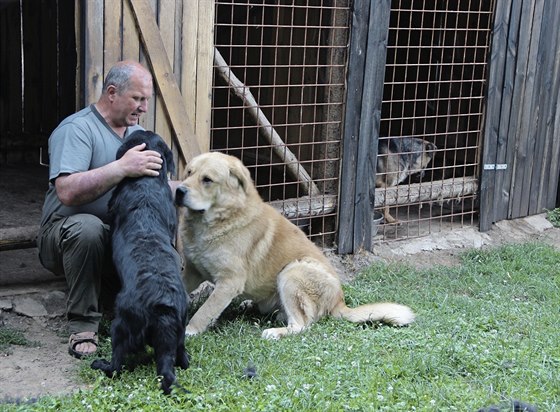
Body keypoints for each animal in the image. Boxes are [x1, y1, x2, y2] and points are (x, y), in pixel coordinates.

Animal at [90, 130, 188, 394]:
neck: (146, 182)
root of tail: (163, 307)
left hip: (121, 324)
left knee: (116, 365)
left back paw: (100, 364)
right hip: (181, 326)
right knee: (181, 356)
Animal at [175, 153, 416, 340]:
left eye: (207, 179)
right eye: (188, 172)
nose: (178, 190)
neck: (221, 219)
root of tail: (339, 302)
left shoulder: (229, 281)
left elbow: (205, 310)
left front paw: (189, 331)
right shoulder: (193, 271)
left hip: (292, 271)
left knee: (301, 325)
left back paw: (275, 332)